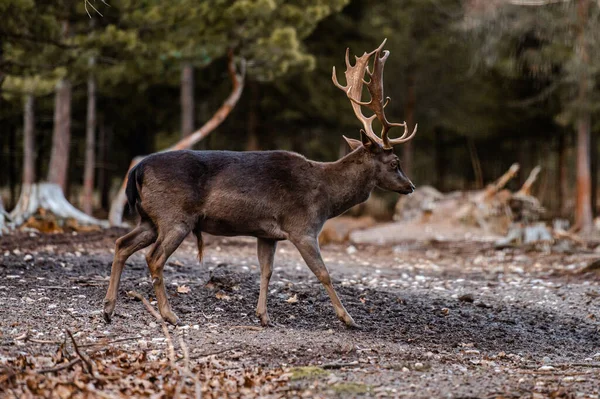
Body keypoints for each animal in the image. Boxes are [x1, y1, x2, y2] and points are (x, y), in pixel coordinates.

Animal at [103, 39, 418, 328]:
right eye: (394, 162)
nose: (410, 186)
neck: (327, 197)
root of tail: (137, 169)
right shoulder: (302, 227)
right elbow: (323, 273)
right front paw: (348, 318)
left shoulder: (267, 233)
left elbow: (266, 271)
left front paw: (263, 316)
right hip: (175, 216)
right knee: (153, 258)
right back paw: (169, 315)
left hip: (150, 218)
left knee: (121, 244)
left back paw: (108, 309)